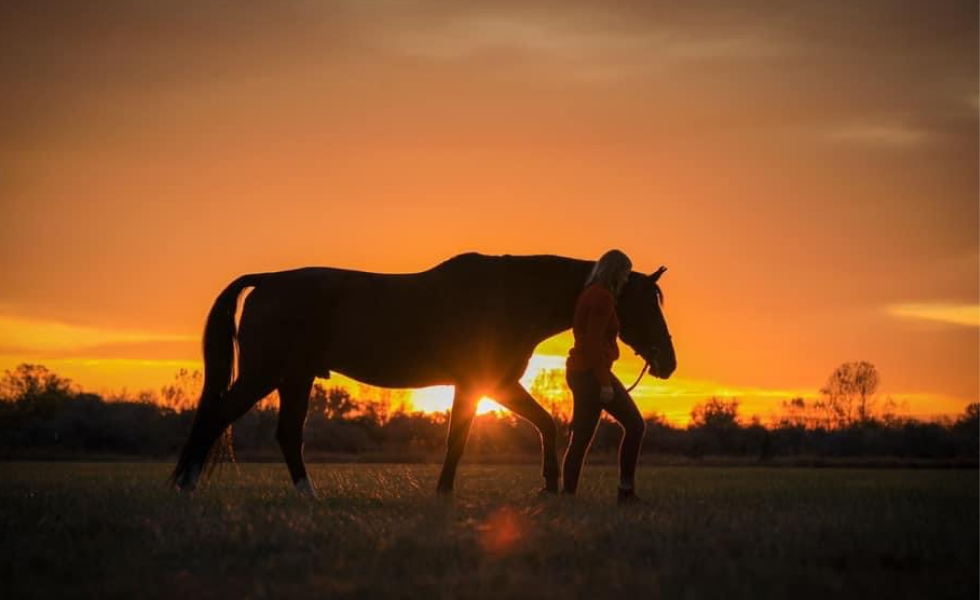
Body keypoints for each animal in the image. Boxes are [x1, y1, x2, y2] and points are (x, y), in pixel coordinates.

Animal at [170, 252, 676, 495]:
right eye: (646, 303)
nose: (668, 362)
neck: (509, 296)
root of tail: (268, 280)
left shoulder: (496, 385)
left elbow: (543, 424)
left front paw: (549, 485)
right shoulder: (480, 384)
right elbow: (459, 439)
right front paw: (445, 492)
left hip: (296, 378)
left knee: (287, 435)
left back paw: (308, 496)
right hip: (264, 374)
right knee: (217, 418)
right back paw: (186, 486)